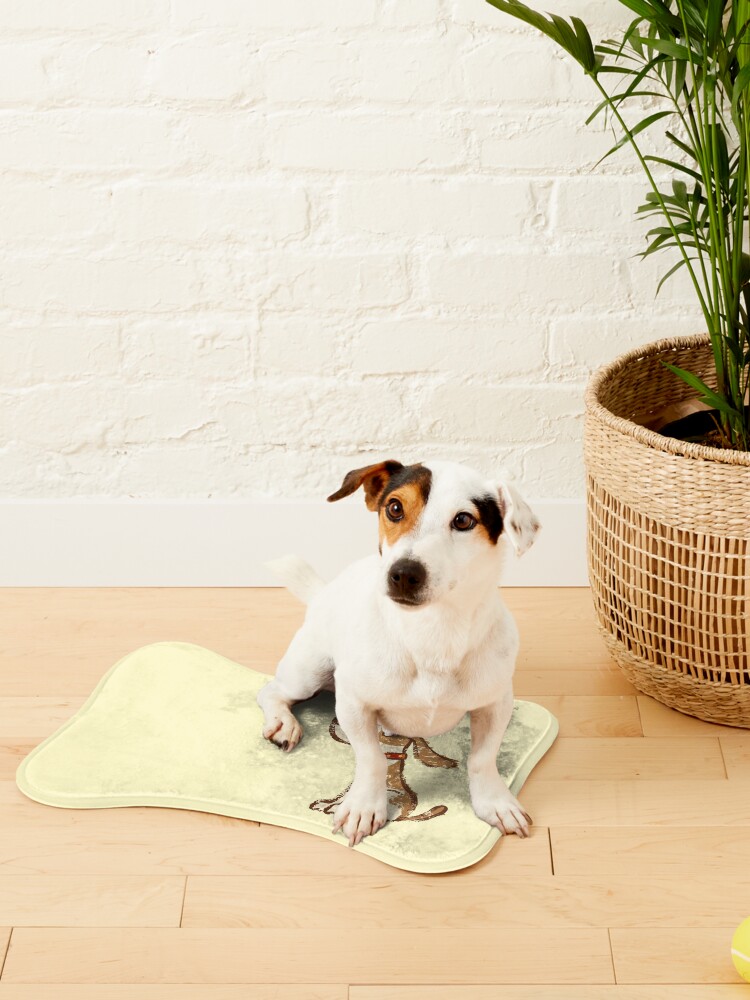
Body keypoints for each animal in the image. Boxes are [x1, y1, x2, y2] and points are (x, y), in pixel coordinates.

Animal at [258, 458, 540, 844]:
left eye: (463, 520)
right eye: (394, 508)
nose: (404, 573)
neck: (432, 632)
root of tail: (323, 593)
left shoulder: (494, 704)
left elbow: (482, 759)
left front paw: (495, 802)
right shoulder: (354, 704)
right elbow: (372, 760)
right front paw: (364, 806)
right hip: (309, 670)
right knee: (271, 691)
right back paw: (283, 723)